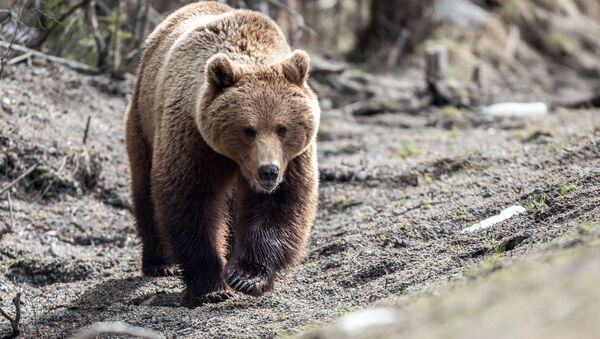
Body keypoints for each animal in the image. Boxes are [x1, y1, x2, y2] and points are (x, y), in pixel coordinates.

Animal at [122, 0, 318, 308]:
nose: (268, 171)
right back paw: (159, 262)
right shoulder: (194, 140)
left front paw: (246, 276)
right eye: (248, 129)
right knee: (144, 188)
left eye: (282, 128)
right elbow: (191, 201)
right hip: (143, 119)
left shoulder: (294, 159)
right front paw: (210, 286)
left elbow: (280, 204)